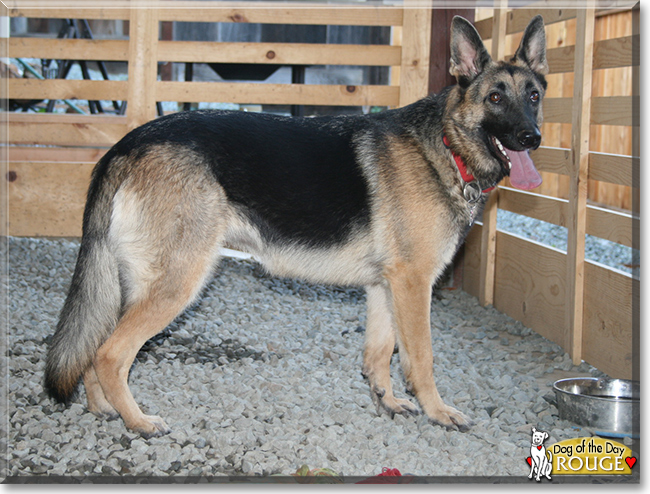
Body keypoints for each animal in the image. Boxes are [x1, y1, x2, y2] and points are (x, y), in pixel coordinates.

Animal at [44, 14, 548, 436]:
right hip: (178, 282)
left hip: (133, 284)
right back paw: (139, 421)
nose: (532, 138)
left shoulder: (386, 287)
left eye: (534, 96)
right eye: (495, 97)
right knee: (110, 353)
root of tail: (128, 142)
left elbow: (378, 353)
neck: (444, 144)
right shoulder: (413, 284)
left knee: (94, 349)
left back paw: (104, 409)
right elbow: (419, 358)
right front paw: (437, 411)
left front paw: (386, 402)